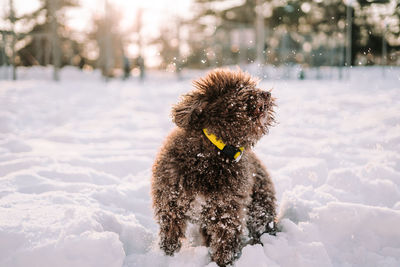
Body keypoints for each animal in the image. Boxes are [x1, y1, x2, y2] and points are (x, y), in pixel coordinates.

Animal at [152, 68, 276, 266]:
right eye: (234, 87)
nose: (266, 94)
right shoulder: (170, 203)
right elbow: (170, 235)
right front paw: (166, 257)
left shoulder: (226, 211)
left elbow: (225, 242)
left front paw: (222, 262)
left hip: (260, 205)